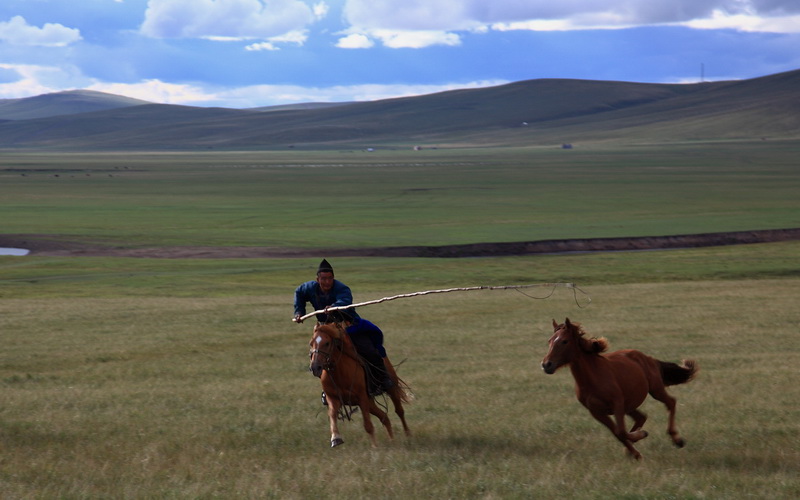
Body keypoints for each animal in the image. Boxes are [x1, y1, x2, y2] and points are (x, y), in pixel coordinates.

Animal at [540, 318, 696, 458]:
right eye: (549, 341)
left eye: (564, 341)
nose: (546, 364)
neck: (592, 378)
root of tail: (649, 358)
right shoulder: (596, 412)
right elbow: (617, 433)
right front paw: (636, 452)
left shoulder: (617, 404)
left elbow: (621, 431)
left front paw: (641, 435)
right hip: (630, 404)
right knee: (641, 417)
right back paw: (631, 448)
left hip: (655, 389)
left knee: (671, 402)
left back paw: (677, 439)